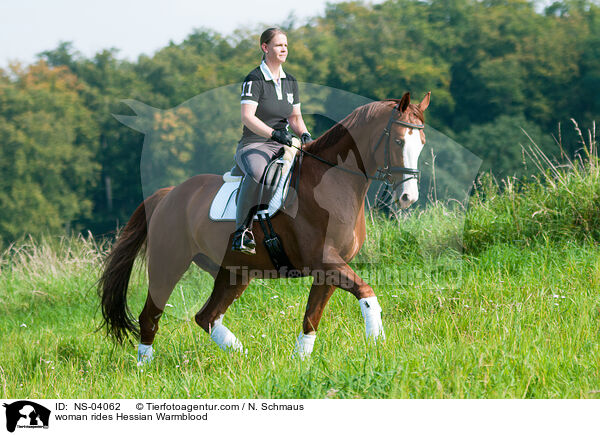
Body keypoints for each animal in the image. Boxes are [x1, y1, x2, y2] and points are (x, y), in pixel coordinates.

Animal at [98, 91, 428, 362]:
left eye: (421, 144)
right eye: (399, 141)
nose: (408, 197)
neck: (333, 182)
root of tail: (167, 195)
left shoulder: (329, 269)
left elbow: (311, 317)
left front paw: (300, 361)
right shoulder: (326, 262)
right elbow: (366, 292)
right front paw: (377, 343)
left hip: (234, 272)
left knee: (207, 317)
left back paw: (243, 357)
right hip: (168, 264)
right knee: (150, 317)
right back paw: (144, 369)